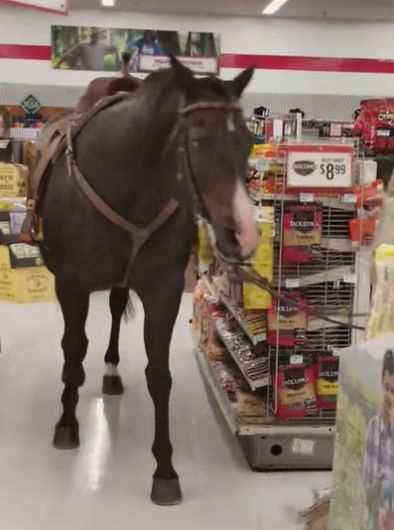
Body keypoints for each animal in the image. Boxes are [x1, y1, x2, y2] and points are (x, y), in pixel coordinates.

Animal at [37, 57, 258, 504]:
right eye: (197, 139)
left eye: (247, 142)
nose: (245, 234)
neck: (129, 180)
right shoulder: (70, 285)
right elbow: (73, 350)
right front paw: (67, 423)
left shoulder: (165, 290)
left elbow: (159, 375)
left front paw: (165, 469)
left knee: (116, 308)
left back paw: (111, 372)